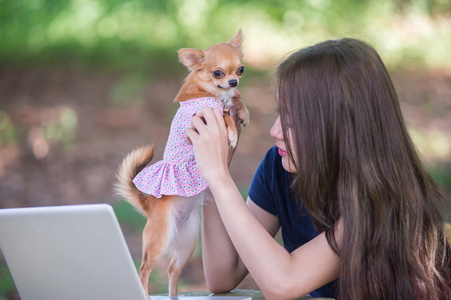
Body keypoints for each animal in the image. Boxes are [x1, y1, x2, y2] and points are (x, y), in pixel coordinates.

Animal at [115, 29, 249, 296]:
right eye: (218, 72)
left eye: (240, 69)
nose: (234, 82)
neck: (213, 92)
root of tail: (148, 205)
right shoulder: (201, 119)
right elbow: (224, 115)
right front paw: (232, 132)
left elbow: (234, 103)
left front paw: (243, 111)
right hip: (159, 239)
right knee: (144, 270)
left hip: (188, 242)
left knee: (171, 271)